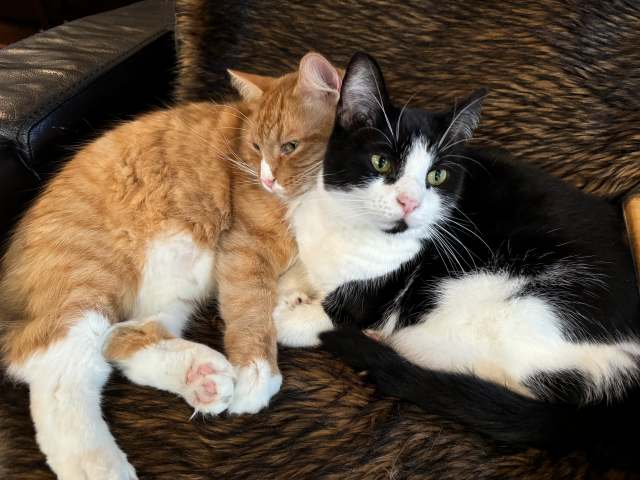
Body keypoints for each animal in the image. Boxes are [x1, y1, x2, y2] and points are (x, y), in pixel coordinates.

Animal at [0, 53, 342, 480]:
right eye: (255, 147)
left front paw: (293, 307)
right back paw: (100, 465)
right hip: (88, 281)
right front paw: (259, 369)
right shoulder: (247, 248)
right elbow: (254, 315)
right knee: (58, 370)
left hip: (176, 289)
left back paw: (200, 377)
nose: (266, 180)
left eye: (290, 147)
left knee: (122, 337)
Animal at [278, 51, 640, 446]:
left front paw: (282, 320)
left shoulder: (378, 293)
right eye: (381, 162)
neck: (347, 228)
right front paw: (288, 287)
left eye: (436, 176)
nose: (409, 203)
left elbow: (325, 317)